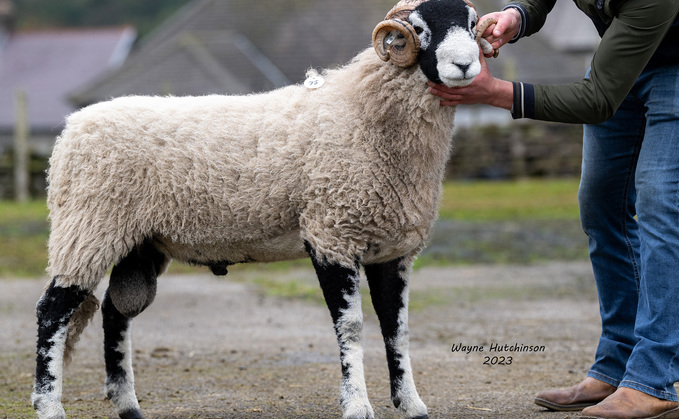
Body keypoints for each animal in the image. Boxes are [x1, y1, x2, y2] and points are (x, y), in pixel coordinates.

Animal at [31, 0, 496, 419]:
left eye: (473, 24)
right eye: (419, 28)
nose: (463, 66)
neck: (360, 113)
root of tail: (72, 126)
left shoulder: (392, 249)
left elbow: (397, 330)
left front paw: (412, 405)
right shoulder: (331, 234)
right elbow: (350, 327)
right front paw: (357, 406)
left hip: (137, 242)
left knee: (116, 313)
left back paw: (128, 406)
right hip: (88, 226)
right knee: (53, 312)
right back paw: (50, 406)